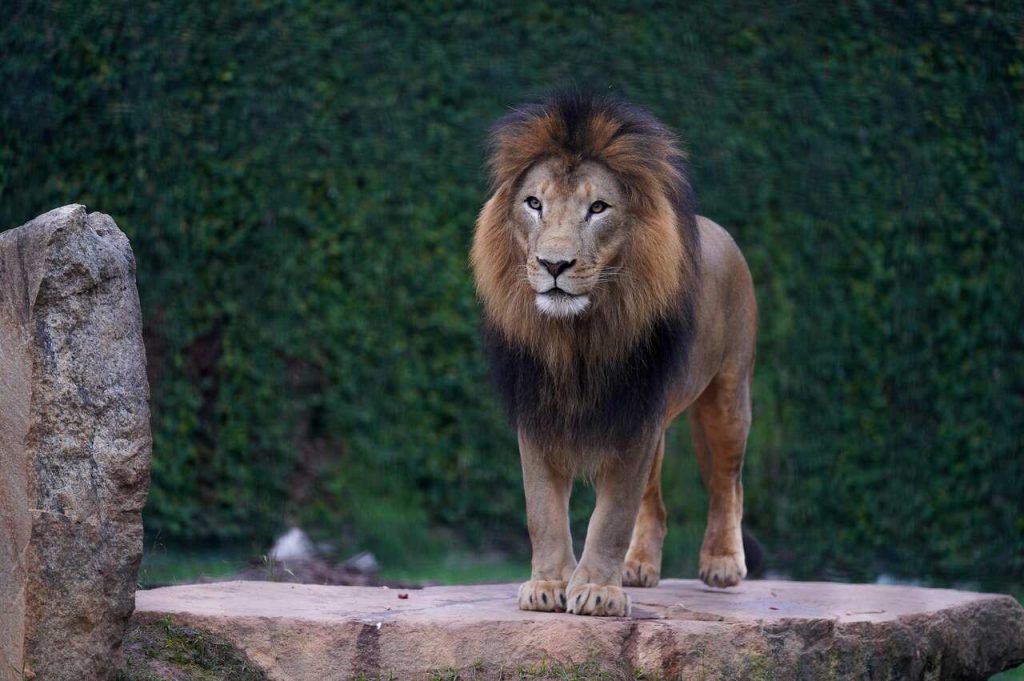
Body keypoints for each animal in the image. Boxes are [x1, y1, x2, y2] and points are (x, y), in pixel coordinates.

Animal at [471, 90, 758, 617]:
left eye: (598, 208)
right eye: (534, 203)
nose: (554, 264)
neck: (576, 337)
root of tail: (718, 229)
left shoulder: (634, 418)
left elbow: (612, 516)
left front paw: (598, 591)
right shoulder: (538, 411)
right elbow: (542, 510)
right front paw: (548, 585)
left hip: (728, 395)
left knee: (728, 482)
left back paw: (723, 562)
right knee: (656, 502)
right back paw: (638, 566)